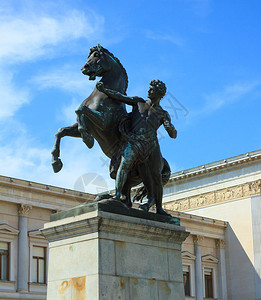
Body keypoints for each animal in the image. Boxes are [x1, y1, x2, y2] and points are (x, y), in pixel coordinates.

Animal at [51, 44, 171, 213]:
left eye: (96, 55)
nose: (83, 68)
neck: (104, 97)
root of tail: (164, 163)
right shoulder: (87, 126)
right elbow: (61, 131)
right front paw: (56, 163)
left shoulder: (102, 122)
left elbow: (80, 109)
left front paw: (88, 140)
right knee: (128, 197)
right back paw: (106, 199)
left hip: (145, 170)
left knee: (149, 191)